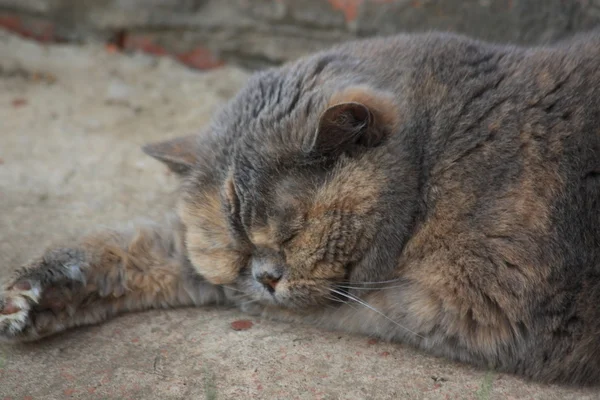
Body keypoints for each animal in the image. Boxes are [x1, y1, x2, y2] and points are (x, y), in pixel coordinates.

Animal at [1, 29, 600, 386]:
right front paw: (34, 294)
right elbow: (151, 248)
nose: (267, 277)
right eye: (240, 248)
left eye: (292, 233)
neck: (436, 160)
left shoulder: (436, 305)